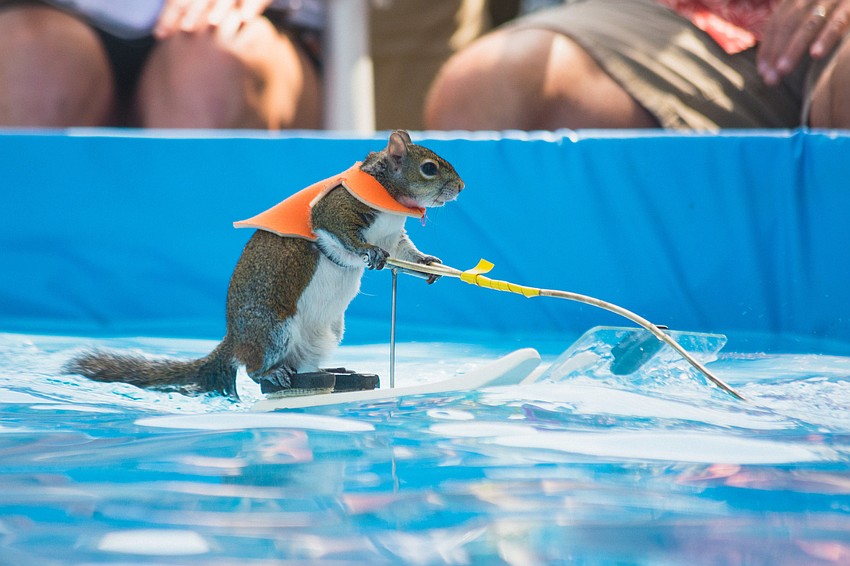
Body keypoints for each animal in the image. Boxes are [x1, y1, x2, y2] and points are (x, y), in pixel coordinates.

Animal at [65, 130, 464, 397]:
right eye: (429, 168)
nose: (461, 187)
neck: (390, 199)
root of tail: (235, 340)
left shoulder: (394, 236)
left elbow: (407, 254)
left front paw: (428, 263)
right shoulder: (335, 209)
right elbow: (339, 230)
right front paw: (370, 253)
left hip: (322, 336)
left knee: (304, 366)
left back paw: (332, 371)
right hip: (272, 329)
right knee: (253, 369)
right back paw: (272, 375)